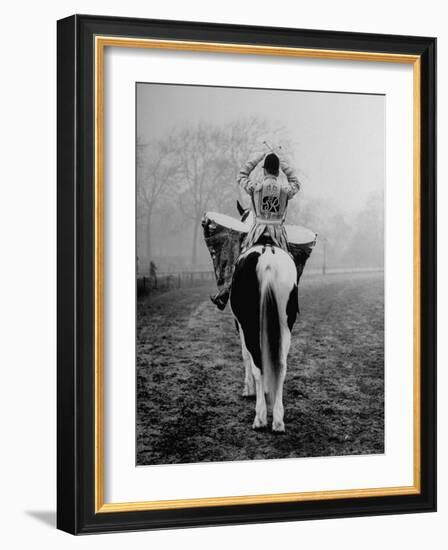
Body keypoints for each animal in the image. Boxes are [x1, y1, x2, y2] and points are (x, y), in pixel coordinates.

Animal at [229, 205, 300, 434]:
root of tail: (267, 259)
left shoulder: (240, 325)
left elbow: (246, 356)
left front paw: (248, 389)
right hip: (286, 325)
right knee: (281, 365)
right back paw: (277, 419)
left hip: (250, 324)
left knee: (258, 364)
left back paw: (260, 417)